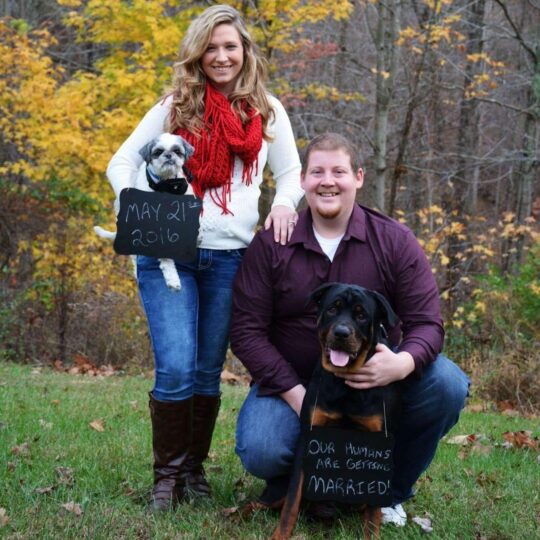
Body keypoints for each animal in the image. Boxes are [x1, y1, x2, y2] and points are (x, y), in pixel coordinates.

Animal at [96, 132, 195, 292]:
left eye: (177, 151)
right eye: (158, 152)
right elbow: (166, 259)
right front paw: (173, 280)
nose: (169, 155)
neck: (165, 184)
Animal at [270, 284, 400, 536]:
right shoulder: (309, 438)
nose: (341, 332)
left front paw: (372, 534)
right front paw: (280, 535)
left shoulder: (378, 447)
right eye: (332, 309)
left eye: (361, 315)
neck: (344, 382)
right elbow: (291, 503)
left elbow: (373, 513)